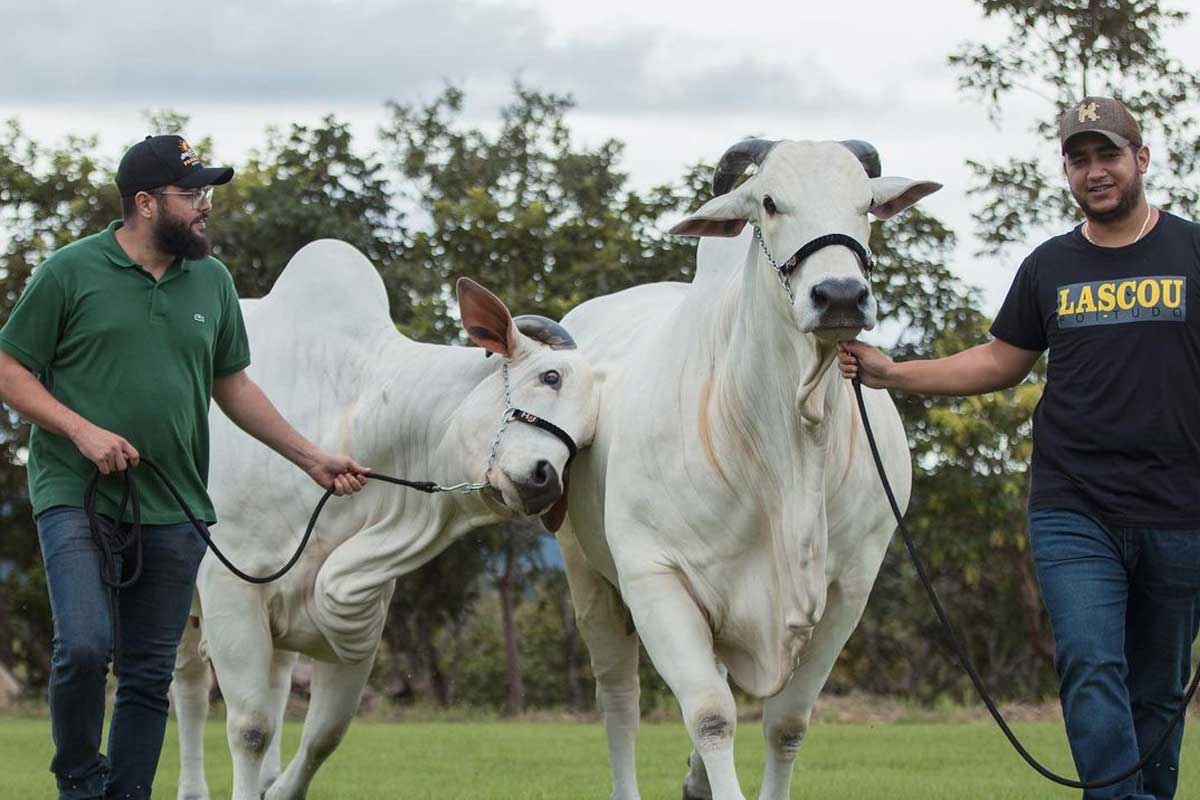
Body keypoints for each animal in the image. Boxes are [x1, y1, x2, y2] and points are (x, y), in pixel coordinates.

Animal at [169, 239, 600, 800]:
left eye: (589, 434)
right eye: (550, 377)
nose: (546, 480)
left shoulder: (359, 607)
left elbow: (325, 733)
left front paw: (278, 788)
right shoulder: (231, 588)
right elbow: (250, 727)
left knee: (278, 687)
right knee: (189, 690)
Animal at [556, 140, 940, 796]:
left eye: (867, 203)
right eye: (768, 202)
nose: (841, 296)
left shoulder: (848, 591)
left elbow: (786, 724)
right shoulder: (655, 576)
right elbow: (711, 715)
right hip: (588, 576)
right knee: (620, 702)